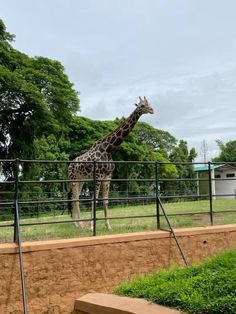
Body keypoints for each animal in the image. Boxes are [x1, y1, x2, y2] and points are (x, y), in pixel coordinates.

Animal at [67, 95, 154, 228]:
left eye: (148, 103)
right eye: (142, 105)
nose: (152, 110)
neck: (109, 150)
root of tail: (70, 164)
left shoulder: (108, 176)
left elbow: (105, 201)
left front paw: (108, 225)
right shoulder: (98, 176)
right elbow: (95, 199)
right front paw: (92, 225)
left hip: (81, 179)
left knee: (75, 197)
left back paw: (76, 224)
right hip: (73, 178)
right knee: (75, 198)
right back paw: (80, 224)